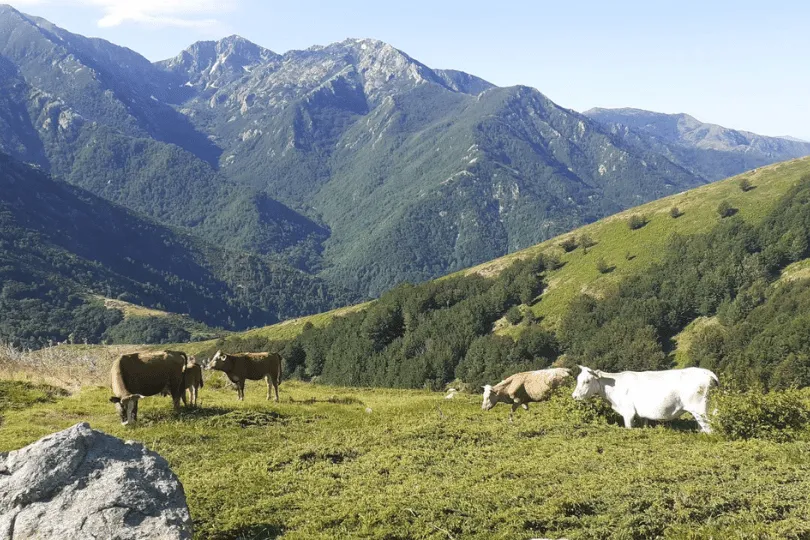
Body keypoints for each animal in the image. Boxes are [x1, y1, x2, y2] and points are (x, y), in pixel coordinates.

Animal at [572, 366, 719, 433]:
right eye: (578, 379)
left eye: (587, 381)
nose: (574, 396)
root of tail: (705, 371)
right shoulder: (642, 416)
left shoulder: (628, 412)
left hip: (699, 408)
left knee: (708, 428)